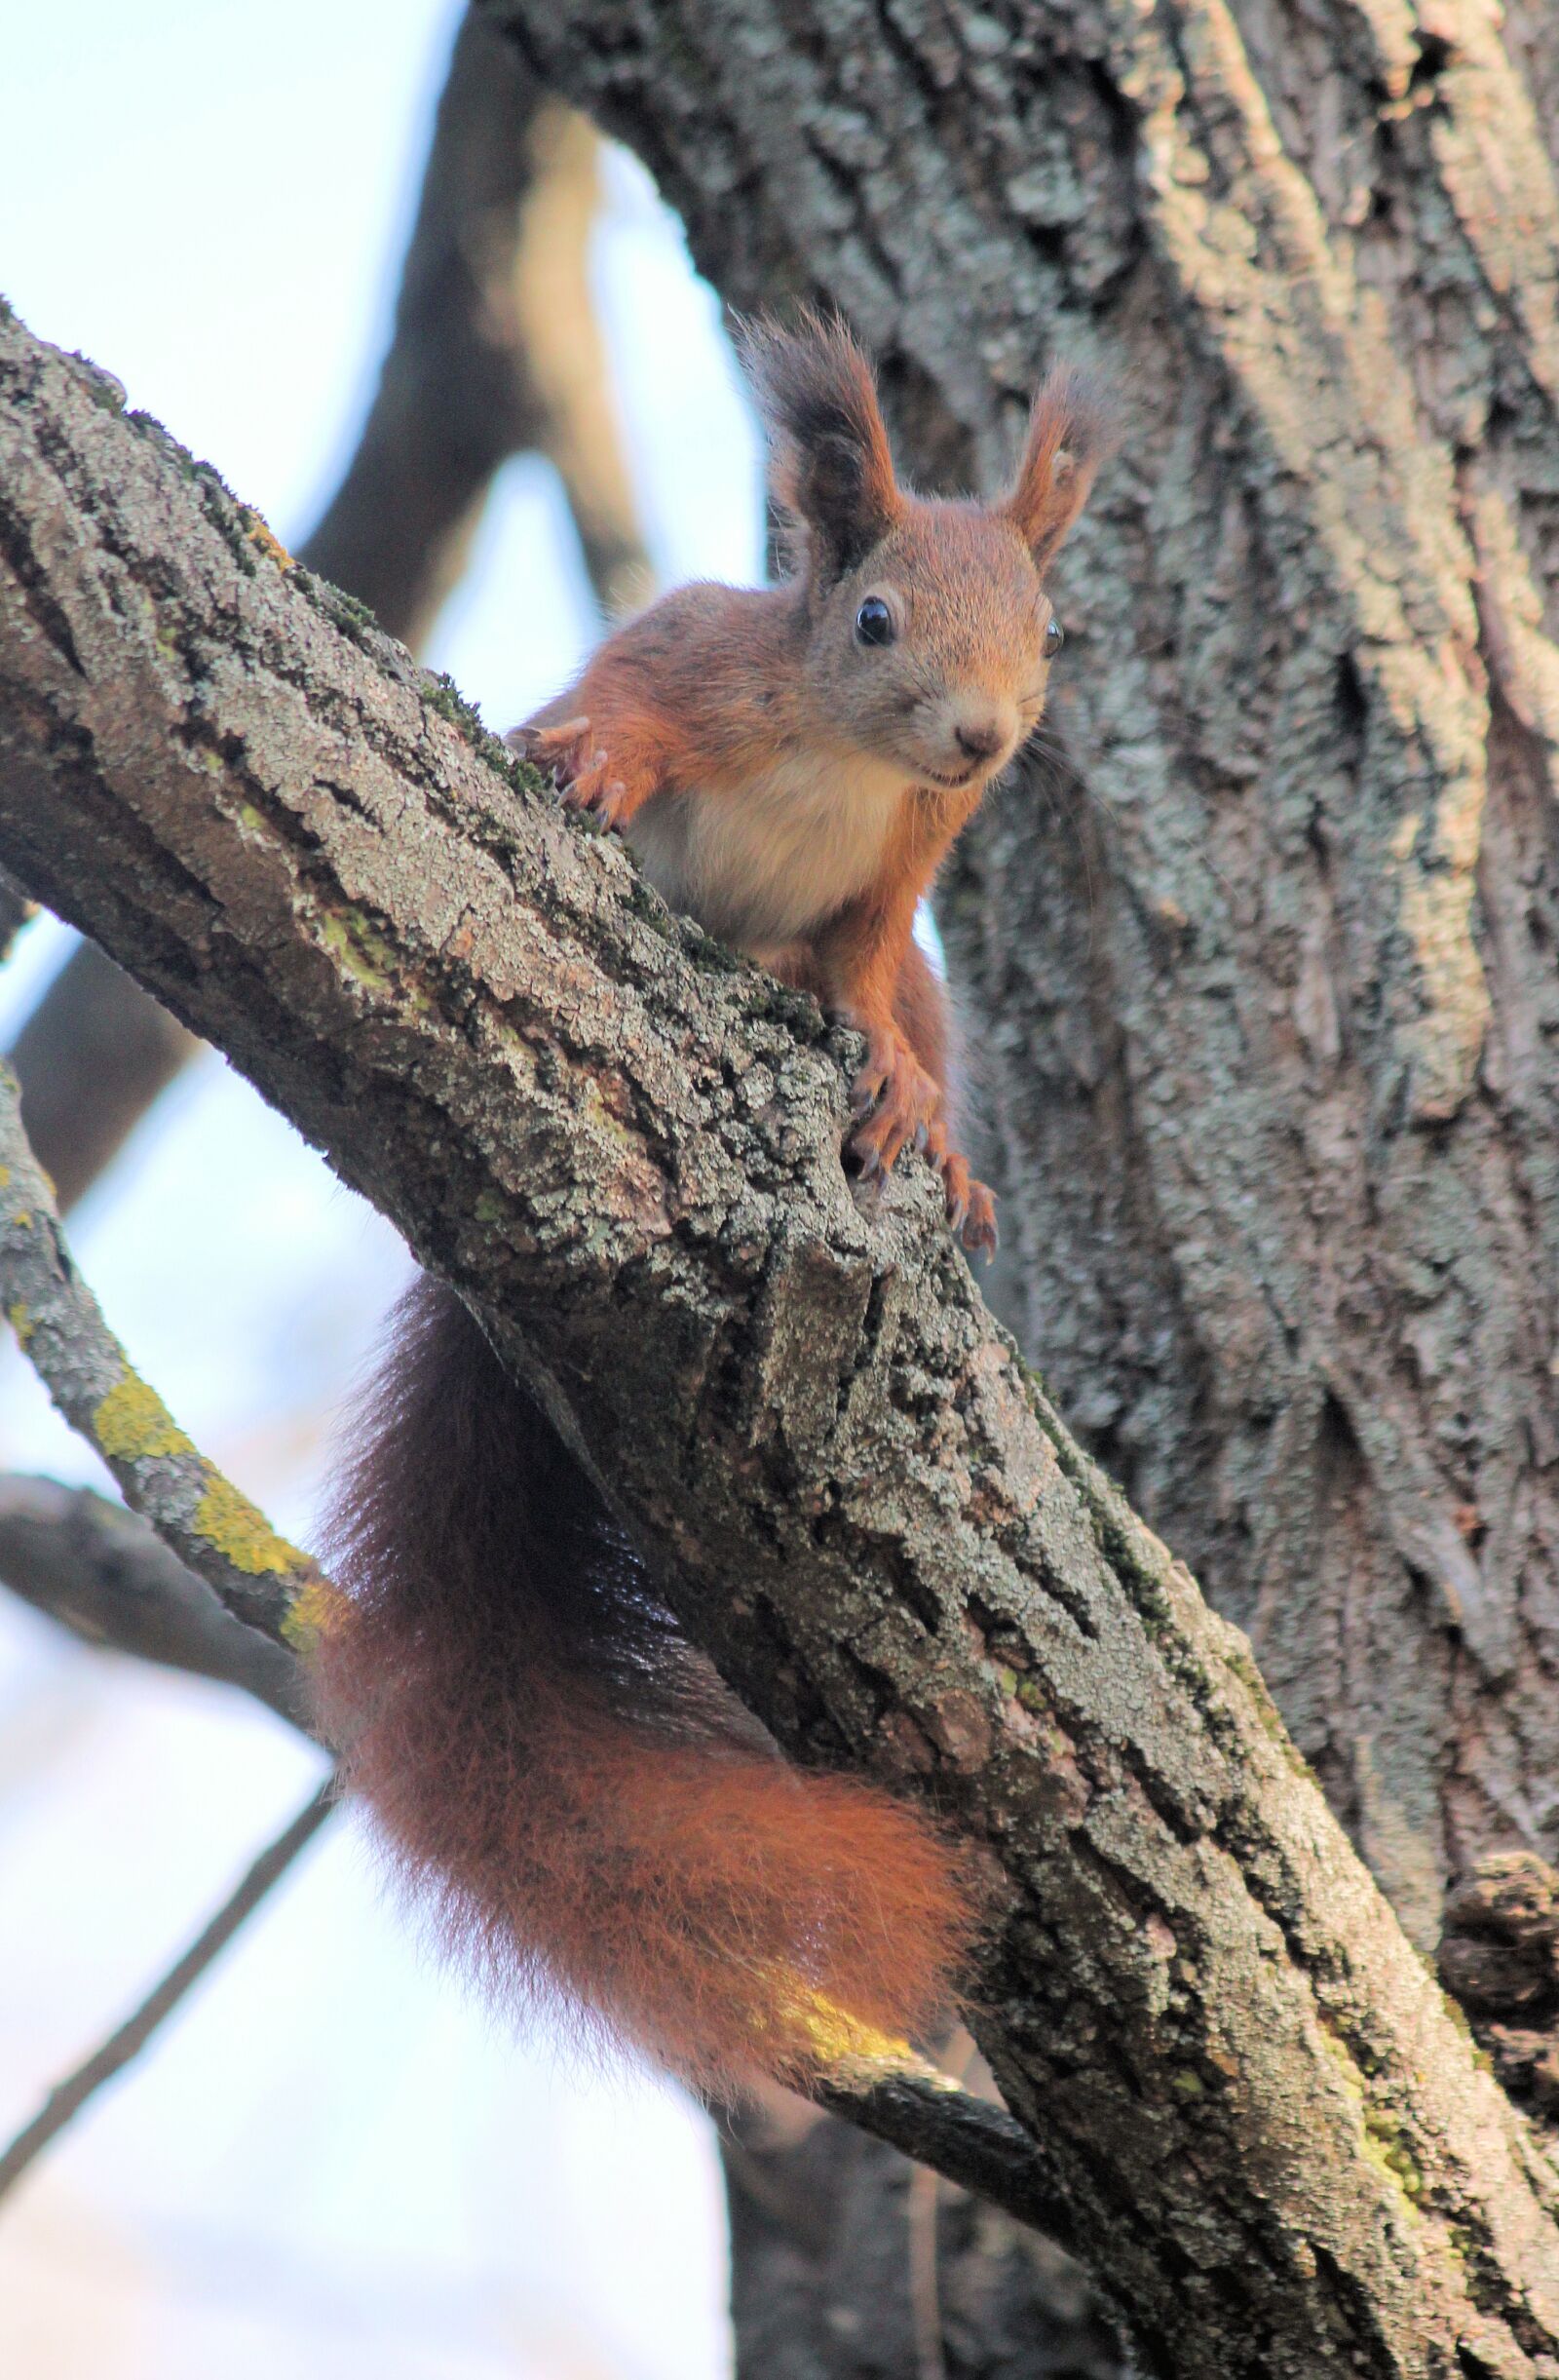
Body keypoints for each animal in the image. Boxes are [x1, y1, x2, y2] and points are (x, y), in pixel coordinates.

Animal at [313, 316, 1110, 2095]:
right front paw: (598, 759)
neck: (849, 755)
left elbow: (871, 980)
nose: (983, 738)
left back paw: (942, 1140)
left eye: (1048, 634)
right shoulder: (693, 654)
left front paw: (904, 1095)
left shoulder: (898, 883)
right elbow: (628, 699)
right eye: (874, 617)